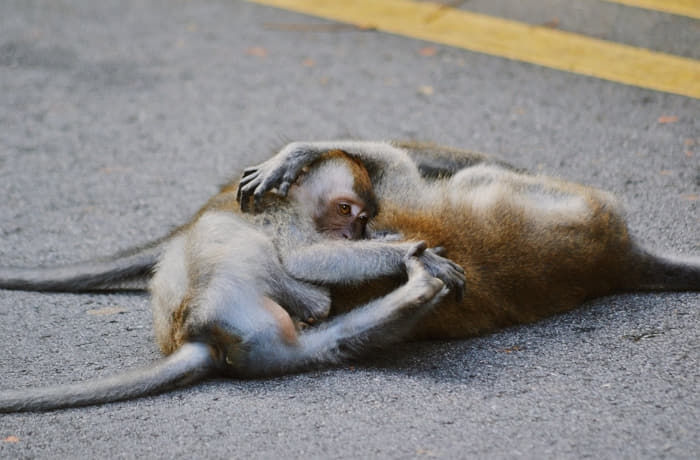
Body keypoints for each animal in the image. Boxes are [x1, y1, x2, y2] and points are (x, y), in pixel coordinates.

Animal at [0, 151, 464, 414]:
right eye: (344, 209)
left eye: (362, 217)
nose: (353, 235)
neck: (290, 203)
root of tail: (198, 337)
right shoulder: (284, 220)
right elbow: (302, 256)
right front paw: (404, 252)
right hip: (224, 299)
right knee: (233, 237)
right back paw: (314, 300)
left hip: (261, 339)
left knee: (332, 344)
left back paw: (415, 291)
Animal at [238, 138, 696, 340]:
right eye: (346, 211)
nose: (358, 232)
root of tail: (618, 257)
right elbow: (303, 258)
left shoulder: (392, 199)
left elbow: (390, 161)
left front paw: (297, 153)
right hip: (584, 203)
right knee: (481, 174)